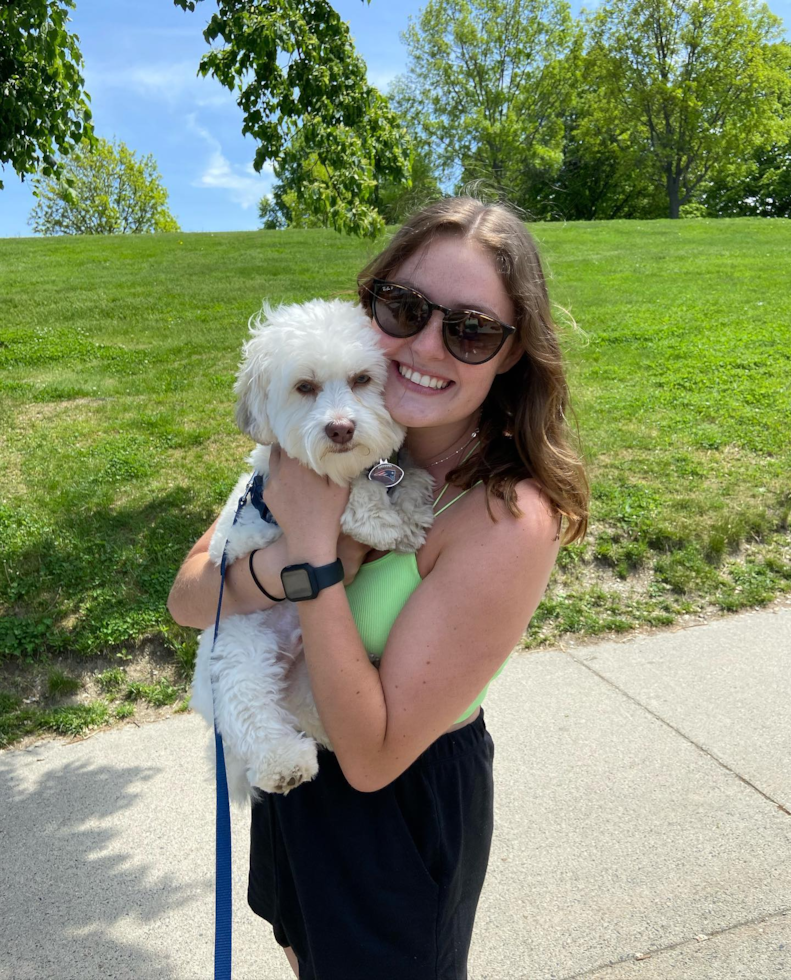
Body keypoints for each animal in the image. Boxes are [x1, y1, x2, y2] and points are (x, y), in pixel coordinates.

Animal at [189, 298, 434, 804]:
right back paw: (282, 763)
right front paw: (386, 523)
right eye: (305, 387)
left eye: (362, 379)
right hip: (238, 647)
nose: (340, 429)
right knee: (250, 709)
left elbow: (397, 476)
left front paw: (412, 502)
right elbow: (359, 496)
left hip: (310, 675)